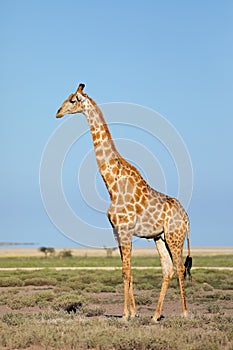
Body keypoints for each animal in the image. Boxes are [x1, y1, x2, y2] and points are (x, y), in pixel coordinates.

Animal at [56, 82, 191, 322]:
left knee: (180, 267)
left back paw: (184, 313)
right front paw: (132, 313)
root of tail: (187, 218)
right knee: (167, 269)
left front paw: (126, 315)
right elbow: (125, 269)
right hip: (159, 237)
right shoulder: (117, 230)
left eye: (72, 100)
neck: (112, 184)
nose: (58, 112)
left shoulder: (126, 229)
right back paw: (155, 316)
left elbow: (126, 270)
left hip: (175, 236)